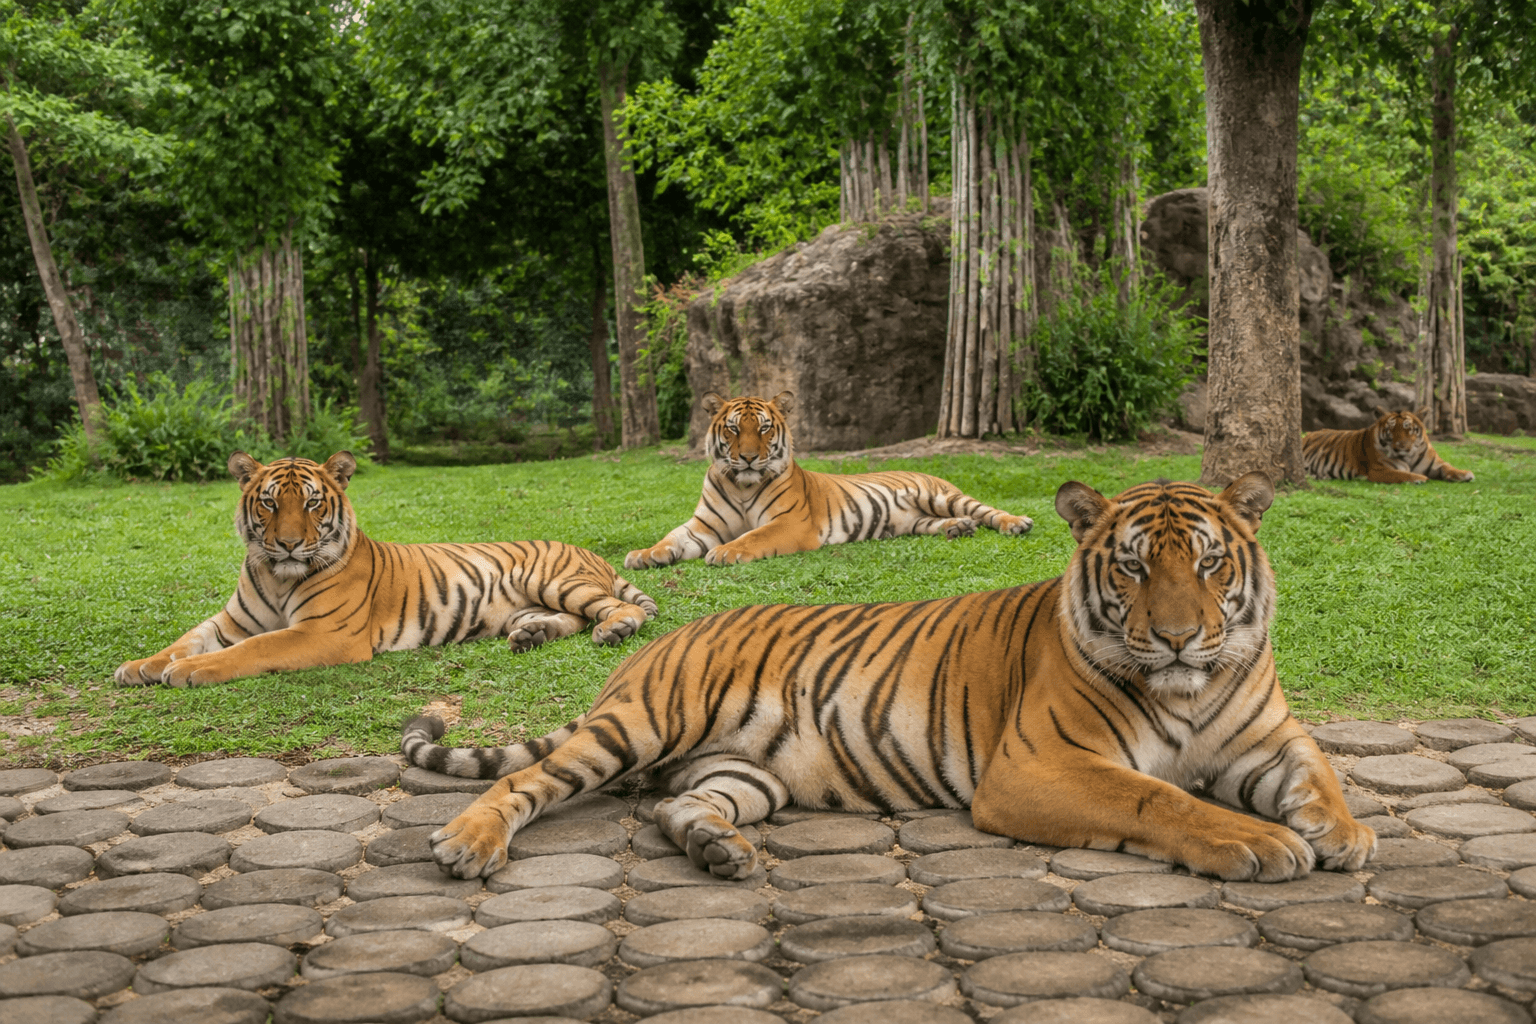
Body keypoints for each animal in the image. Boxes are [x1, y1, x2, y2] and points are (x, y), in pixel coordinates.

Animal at [114, 451, 657, 688]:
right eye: (269, 503)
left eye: (311, 503)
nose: (288, 545)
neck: (275, 574)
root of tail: (590, 553)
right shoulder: (230, 622)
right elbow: (187, 637)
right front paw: (141, 666)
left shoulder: (325, 632)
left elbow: (256, 648)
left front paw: (190, 671)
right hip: (525, 606)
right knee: (572, 619)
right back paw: (532, 636)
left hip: (548, 578)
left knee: (618, 610)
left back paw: (615, 630)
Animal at [404, 471, 1375, 883]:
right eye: (1134, 568)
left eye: (1209, 563)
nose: (1178, 638)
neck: (1192, 687)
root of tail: (659, 640)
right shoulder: (1038, 767)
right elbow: (1161, 799)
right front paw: (1259, 843)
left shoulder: (1267, 738)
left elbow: (1319, 771)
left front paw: (1344, 833)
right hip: (640, 725)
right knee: (527, 781)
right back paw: (467, 843)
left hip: (743, 773)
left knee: (678, 809)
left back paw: (719, 852)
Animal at [624, 391, 1032, 568]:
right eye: (734, 429)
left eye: (764, 428)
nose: (749, 458)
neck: (741, 485)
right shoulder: (703, 525)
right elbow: (672, 537)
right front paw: (645, 554)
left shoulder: (791, 522)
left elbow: (754, 536)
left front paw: (726, 551)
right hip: (917, 520)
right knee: (944, 522)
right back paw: (958, 529)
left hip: (942, 497)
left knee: (986, 511)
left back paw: (1017, 523)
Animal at [1303, 407, 1475, 484]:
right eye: (1391, 429)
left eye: (1408, 429)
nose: (1401, 447)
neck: (1409, 457)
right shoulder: (1379, 470)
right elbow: (1402, 474)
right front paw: (1420, 478)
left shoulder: (1435, 464)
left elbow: (1448, 466)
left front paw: (1465, 474)